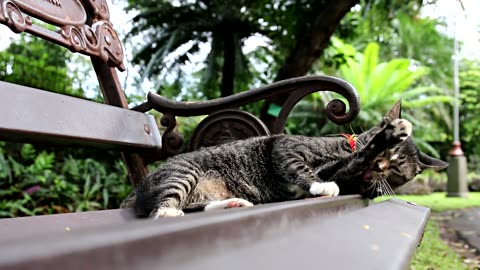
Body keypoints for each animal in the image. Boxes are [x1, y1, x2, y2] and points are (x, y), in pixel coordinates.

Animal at [122, 100, 448, 218]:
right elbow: (301, 166)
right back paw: (169, 213)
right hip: (183, 173)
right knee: (160, 209)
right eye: (389, 160)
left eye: (397, 170)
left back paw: (232, 203)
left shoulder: (346, 173)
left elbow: (351, 167)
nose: (380, 167)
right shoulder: (284, 146)